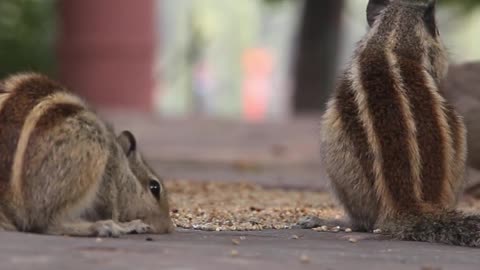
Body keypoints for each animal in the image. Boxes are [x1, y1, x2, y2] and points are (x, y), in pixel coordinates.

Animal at [0, 73, 174, 235]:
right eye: (154, 187)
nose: (167, 227)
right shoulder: (108, 177)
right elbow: (112, 205)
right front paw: (126, 224)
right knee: (47, 223)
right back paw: (103, 226)